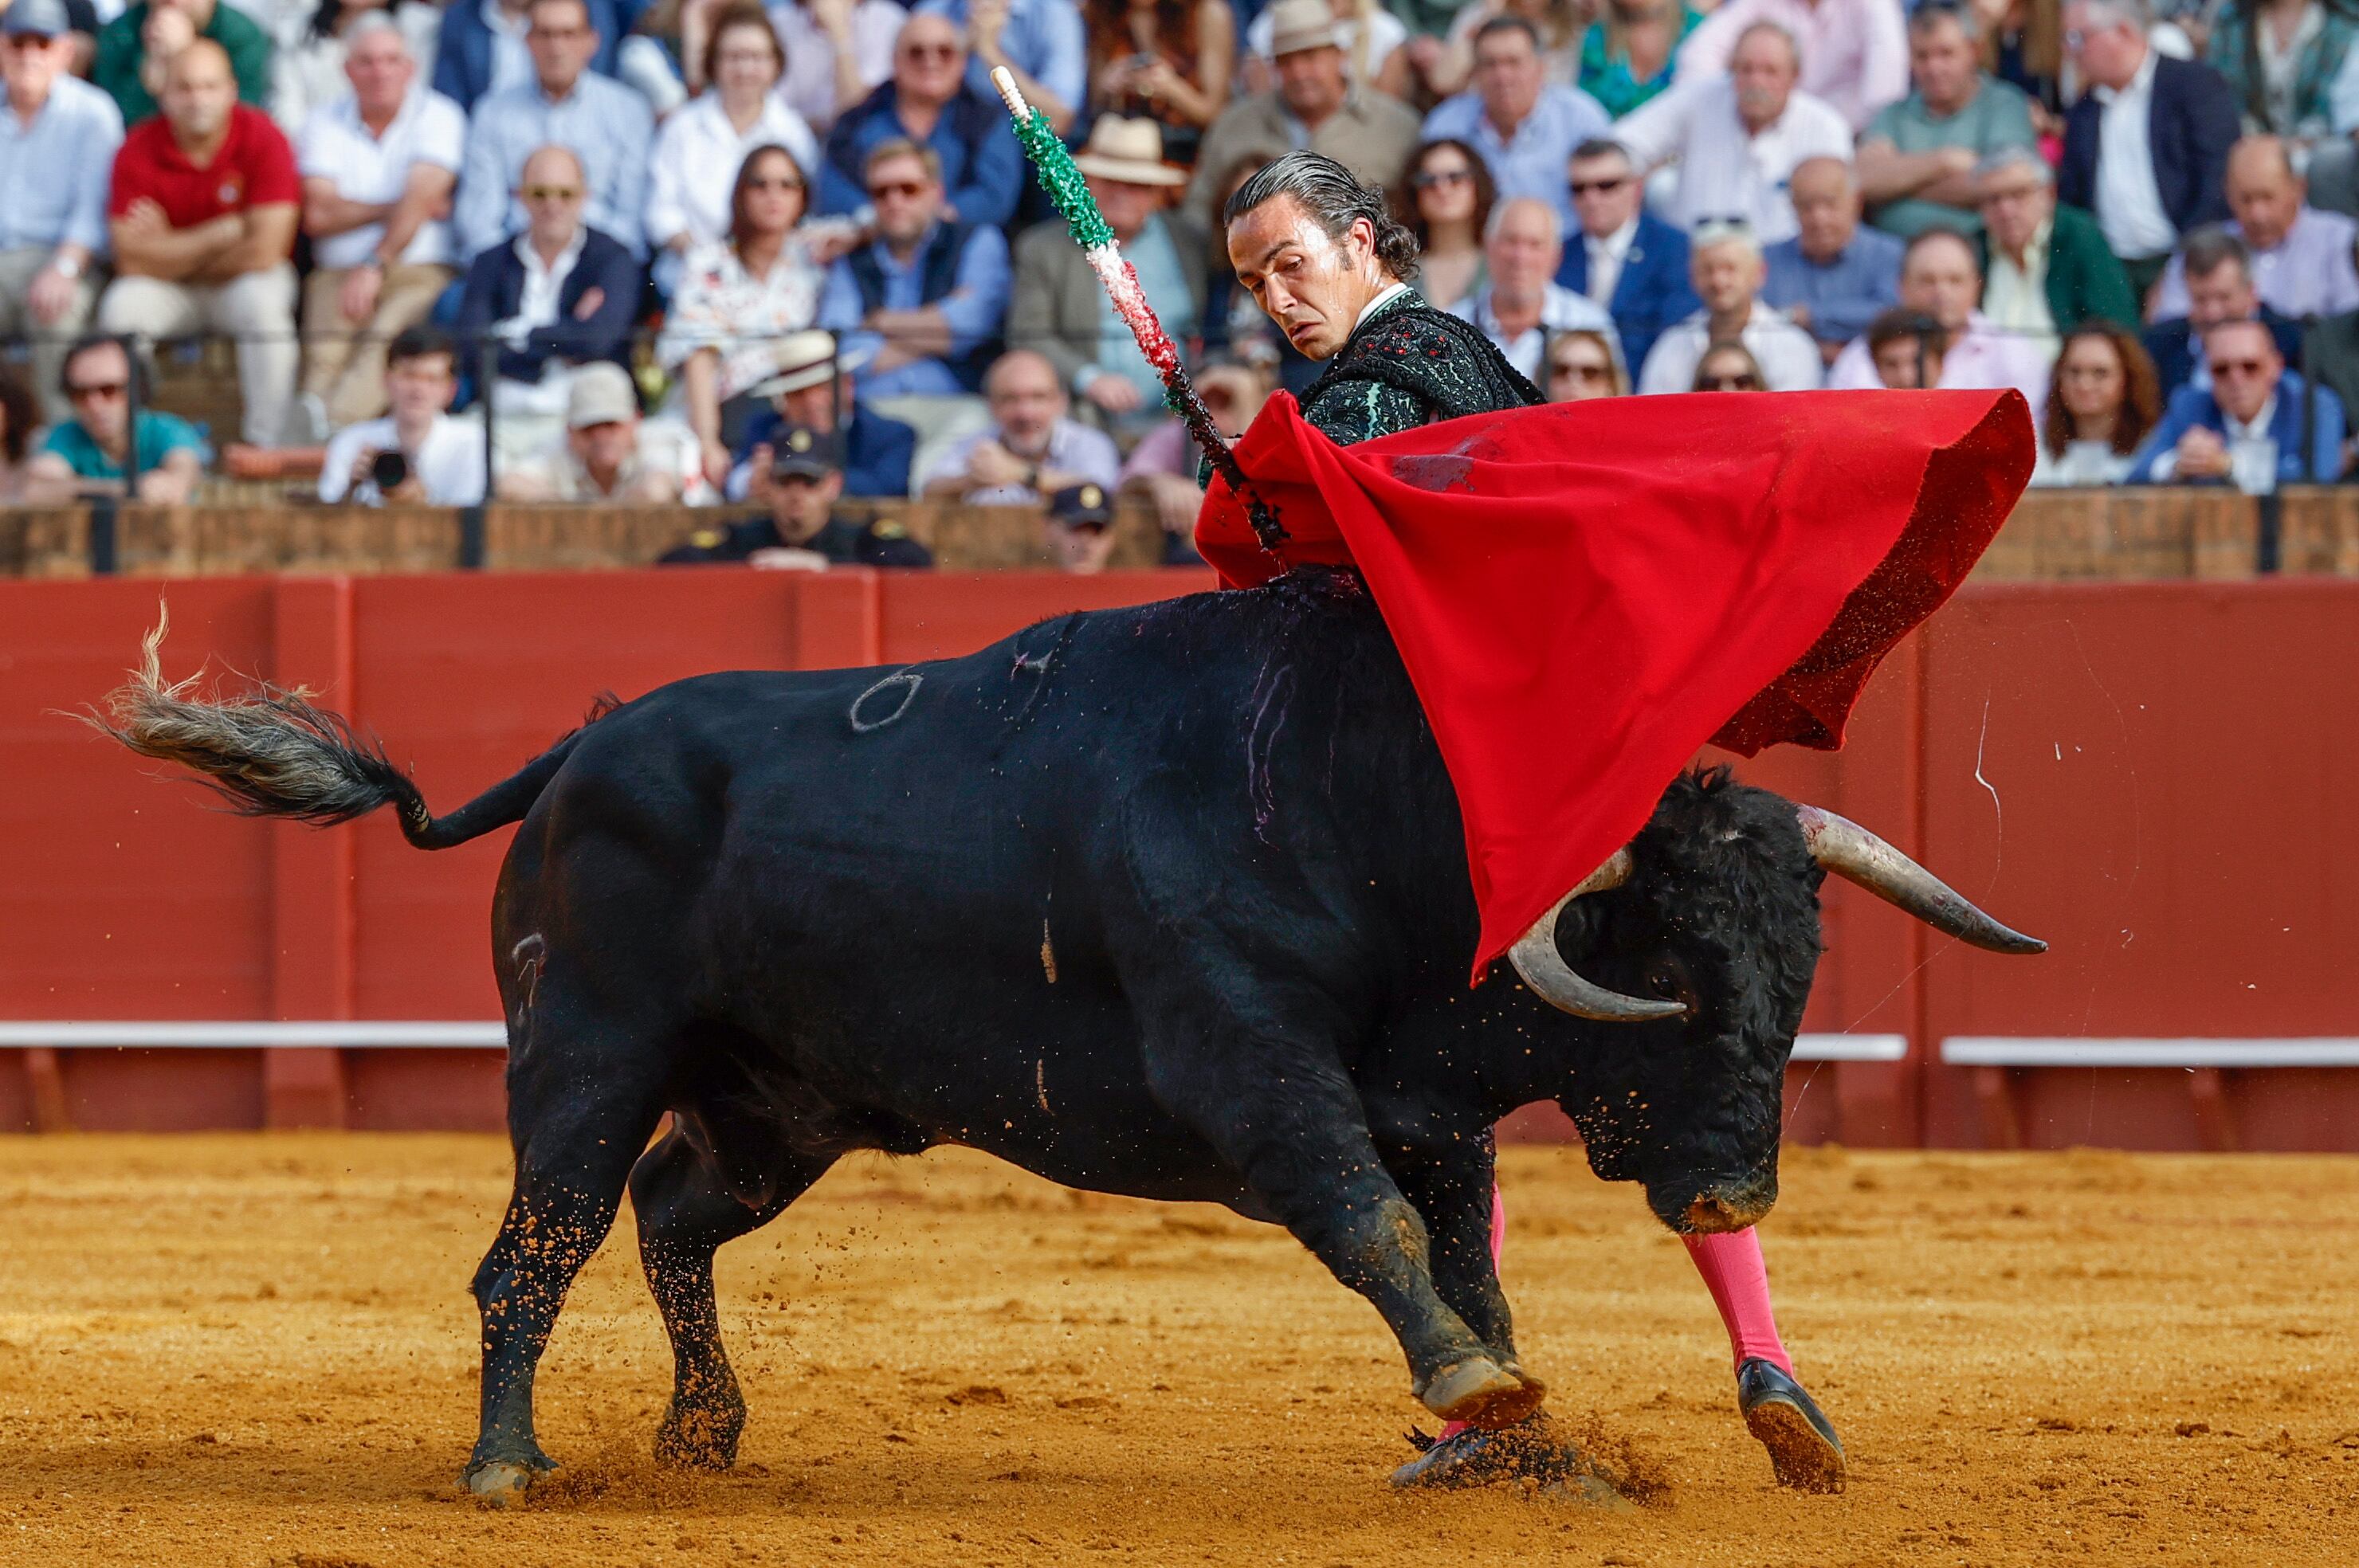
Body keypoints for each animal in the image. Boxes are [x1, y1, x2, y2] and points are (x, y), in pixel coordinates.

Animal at [92, 568, 2038, 1499]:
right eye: (1676, 968)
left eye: (1799, 972)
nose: (1733, 1192)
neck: (1370, 803)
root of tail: (578, 747)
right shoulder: (1256, 1065)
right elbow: (1380, 1231)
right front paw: (1482, 1402)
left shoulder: (1431, 1103)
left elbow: (1467, 1258)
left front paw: (1521, 1439)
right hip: (581, 1051)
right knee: (537, 1246)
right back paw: (508, 1466)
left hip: (788, 1105)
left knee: (663, 1215)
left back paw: (706, 1431)